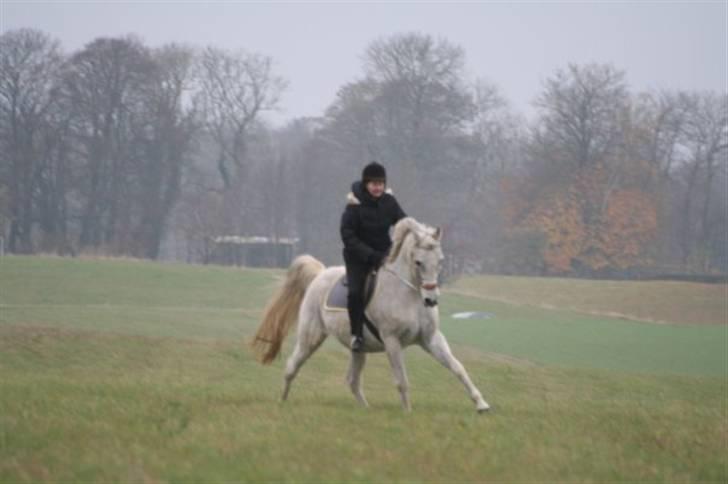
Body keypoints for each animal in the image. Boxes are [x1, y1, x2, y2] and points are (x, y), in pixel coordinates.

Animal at [253, 217, 492, 414]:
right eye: (418, 262)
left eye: (440, 260)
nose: (431, 300)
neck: (409, 295)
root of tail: (320, 274)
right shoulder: (392, 341)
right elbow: (401, 380)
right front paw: (408, 412)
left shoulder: (431, 339)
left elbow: (458, 368)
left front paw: (481, 404)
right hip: (311, 337)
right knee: (292, 366)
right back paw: (282, 401)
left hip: (358, 348)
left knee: (352, 380)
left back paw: (366, 409)